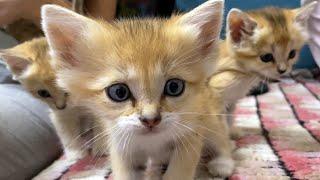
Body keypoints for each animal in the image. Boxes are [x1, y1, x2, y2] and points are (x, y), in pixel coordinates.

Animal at [41, 0, 234, 179]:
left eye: (174, 87)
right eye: (119, 92)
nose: (151, 120)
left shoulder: (191, 136)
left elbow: (178, 171)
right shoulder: (120, 146)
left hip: (209, 118)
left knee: (222, 139)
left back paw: (224, 162)